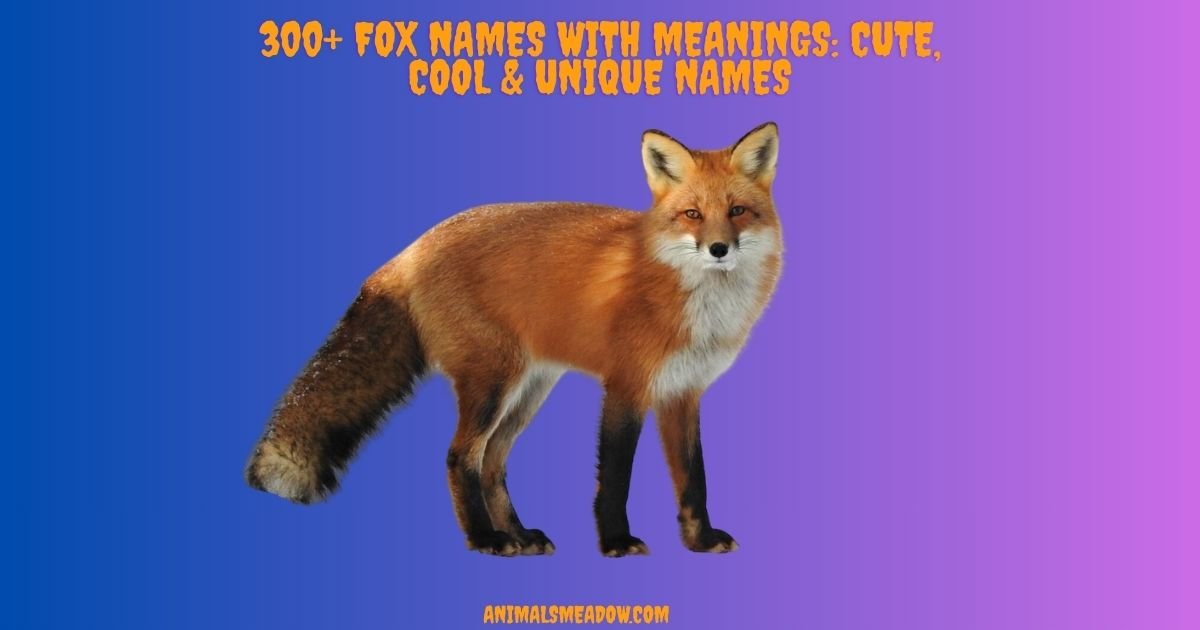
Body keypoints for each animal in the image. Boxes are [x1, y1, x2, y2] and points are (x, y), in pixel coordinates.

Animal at [245, 123, 783, 557]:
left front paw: (701, 541)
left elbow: (694, 480)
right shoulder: (626, 387)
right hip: (493, 384)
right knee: (460, 457)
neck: (692, 299)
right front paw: (615, 542)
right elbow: (615, 478)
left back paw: (519, 535)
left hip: (528, 391)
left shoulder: (682, 394)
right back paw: (486, 539)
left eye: (737, 211)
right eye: (693, 214)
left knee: (491, 463)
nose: (718, 249)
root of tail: (411, 249)